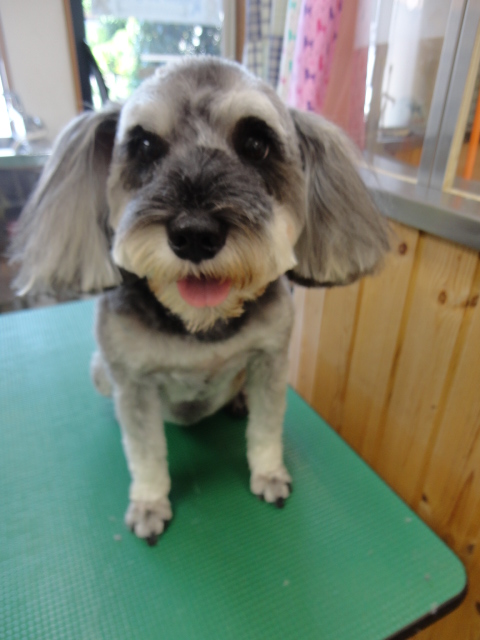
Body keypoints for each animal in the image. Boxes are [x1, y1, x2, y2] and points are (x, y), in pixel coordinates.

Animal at [10, 57, 389, 545]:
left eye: (256, 144)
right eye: (145, 145)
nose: (194, 234)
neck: (199, 323)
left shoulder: (271, 359)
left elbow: (267, 426)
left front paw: (268, 473)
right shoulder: (132, 382)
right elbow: (144, 451)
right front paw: (149, 502)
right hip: (100, 370)